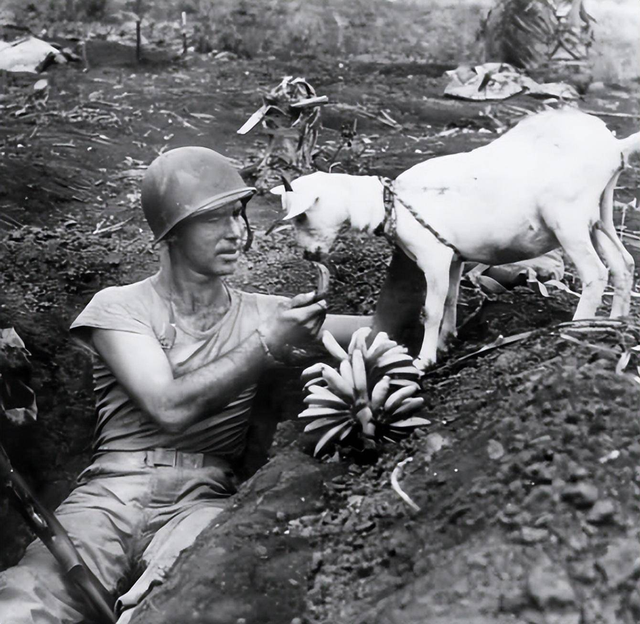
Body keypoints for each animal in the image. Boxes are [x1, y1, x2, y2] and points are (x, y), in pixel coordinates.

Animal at [272, 109, 640, 368]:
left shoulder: (433, 256)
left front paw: (424, 359)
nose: (308, 256)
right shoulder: (453, 258)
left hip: (569, 220)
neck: (390, 203)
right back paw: (615, 323)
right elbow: (450, 298)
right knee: (623, 264)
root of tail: (614, 146)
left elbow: (431, 309)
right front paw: (446, 341)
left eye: (301, 215)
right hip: (599, 216)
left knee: (596, 272)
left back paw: (575, 329)